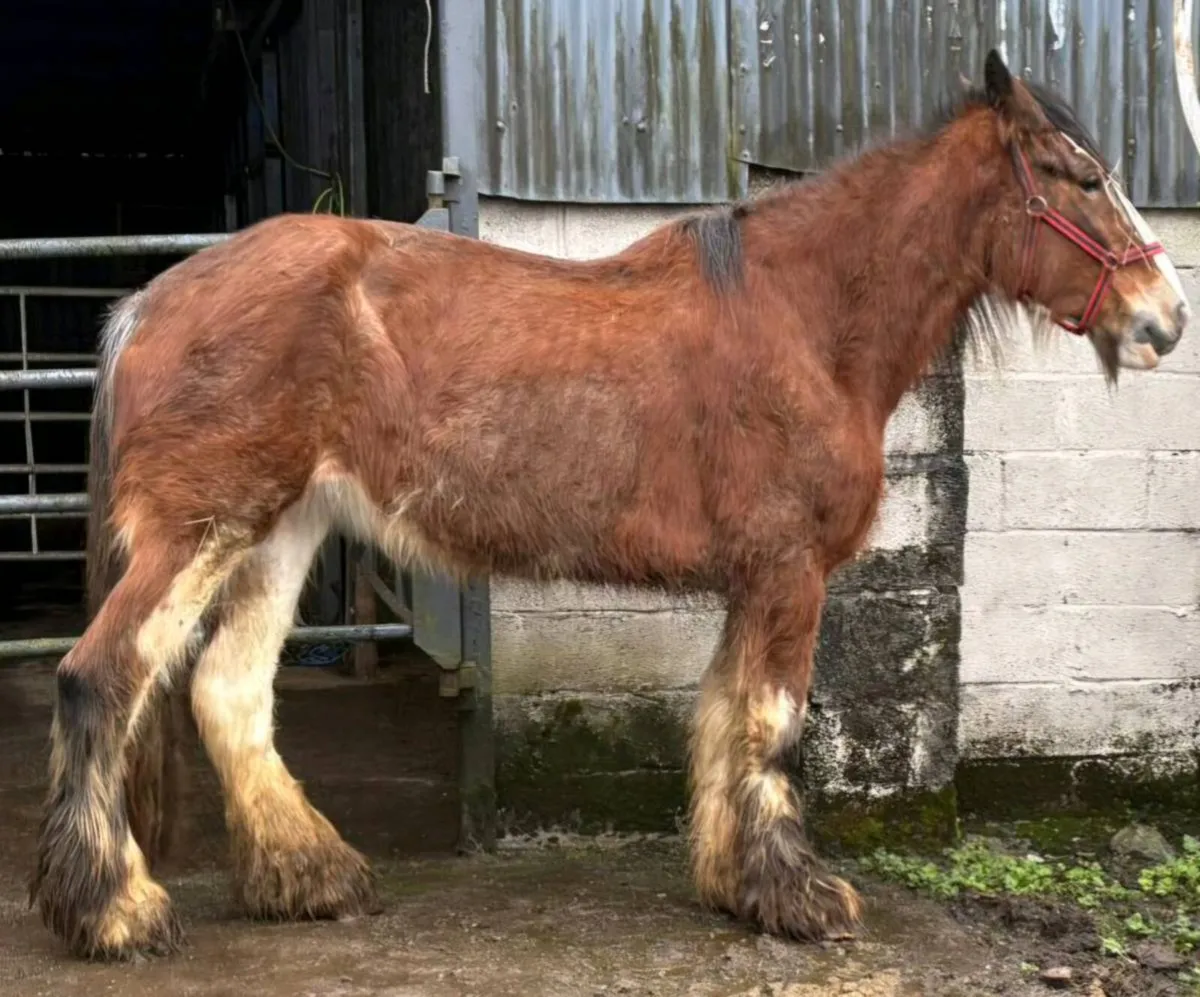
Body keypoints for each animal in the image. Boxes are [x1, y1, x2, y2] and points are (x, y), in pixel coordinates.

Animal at [29, 49, 1188, 960]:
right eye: (1082, 177)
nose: (1165, 319)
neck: (807, 318)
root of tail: (149, 302)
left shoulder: (754, 581)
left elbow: (722, 718)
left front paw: (733, 883)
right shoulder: (788, 572)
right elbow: (770, 723)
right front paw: (799, 897)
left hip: (279, 531)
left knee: (225, 690)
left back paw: (309, 878)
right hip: (200, 532)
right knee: (102, 678)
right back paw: (116, 911)